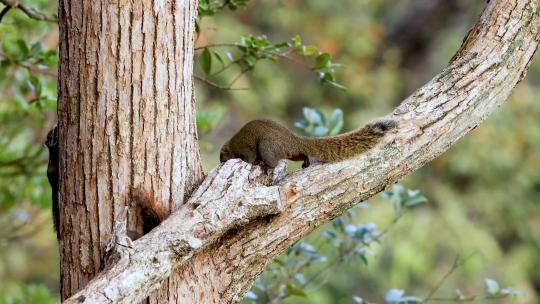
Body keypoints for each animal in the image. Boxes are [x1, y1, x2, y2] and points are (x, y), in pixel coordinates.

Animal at [218, 118, 396, 167]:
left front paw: (251, 163)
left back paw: (264, 165)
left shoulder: (244, 148)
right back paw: (306, 161)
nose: (220, 162)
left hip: (268, 146)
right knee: (301, 154)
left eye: (221, 156)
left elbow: (249, 158)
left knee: (272, 163)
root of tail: (293, 140)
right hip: (291, 152)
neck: (231, 145)